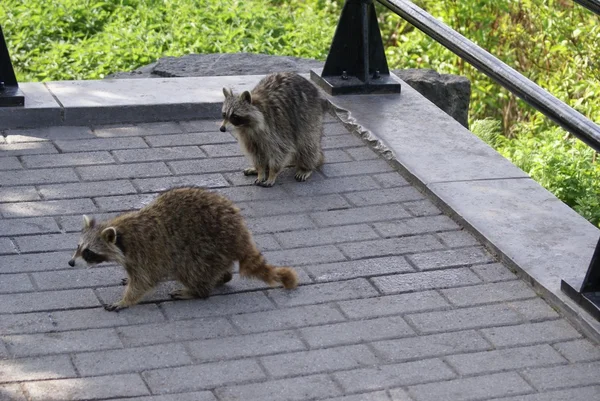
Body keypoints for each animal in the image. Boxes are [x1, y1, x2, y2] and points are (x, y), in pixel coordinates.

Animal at [68, 186, 298, 310]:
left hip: (207, 246)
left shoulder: (146, 251)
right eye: (78, 247)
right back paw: (221, 277)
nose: (70, 263)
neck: (121, 234)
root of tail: (241, 234)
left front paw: (125, 300)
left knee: (191, 269)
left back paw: (196, 290)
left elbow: (144, 280)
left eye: (88, 252)